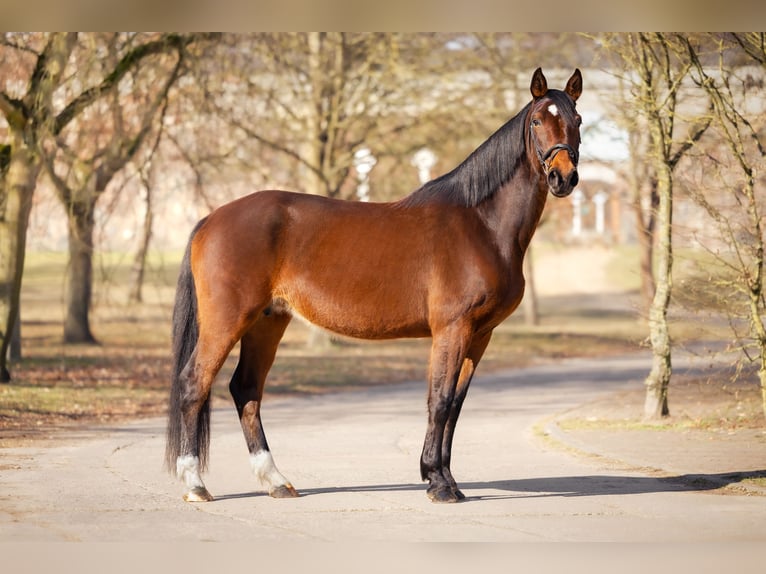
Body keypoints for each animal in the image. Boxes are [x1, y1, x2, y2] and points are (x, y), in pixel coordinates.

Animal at [166, 67, 583, 504]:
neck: (480, 223)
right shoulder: (452, 330)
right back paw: (195, 483)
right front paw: (438, 483)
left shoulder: (480, 335)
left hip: (268, 321)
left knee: (246, 389)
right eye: (537, 121)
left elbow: (455, 405)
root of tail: (210, 219)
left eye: (577, 120)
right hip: (228, 320)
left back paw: (276, 481)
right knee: (194, 384)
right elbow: (439, 400)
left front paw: (448, 480)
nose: (563, 178)